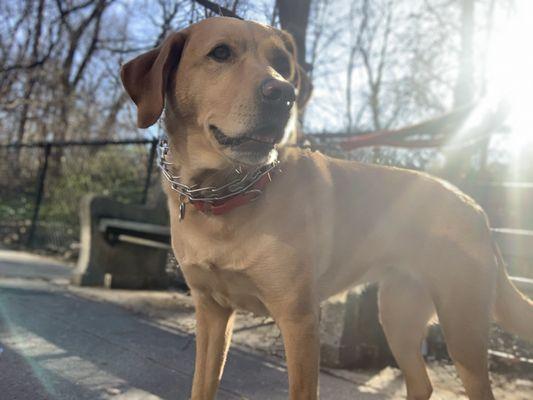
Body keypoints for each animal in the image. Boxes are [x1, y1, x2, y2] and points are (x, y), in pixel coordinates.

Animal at [120, 16, 532, 400]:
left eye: (281, 63)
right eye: (220, 53)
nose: (283, 94)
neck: (224, 195)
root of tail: (475, 208)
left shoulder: (299, 319)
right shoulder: (211, 313)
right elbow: (202, 386)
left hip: (462, 330)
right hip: (398, 317)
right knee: (421, 384)